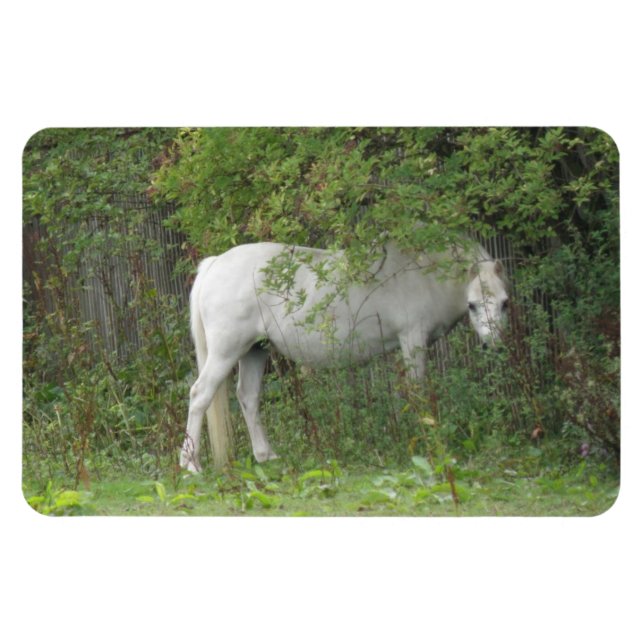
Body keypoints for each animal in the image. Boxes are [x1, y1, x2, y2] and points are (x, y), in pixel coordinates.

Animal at [179, 239, 509, 472]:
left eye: (504, 303)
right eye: (473, 305)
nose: (494, 346)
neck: (423, 272)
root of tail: (215, 264)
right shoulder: (413, 340)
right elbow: (417, 391)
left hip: (255, 351)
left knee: (248, 397)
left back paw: (266, 456)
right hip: (226, 351)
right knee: (200, 395)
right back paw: (191, 464)